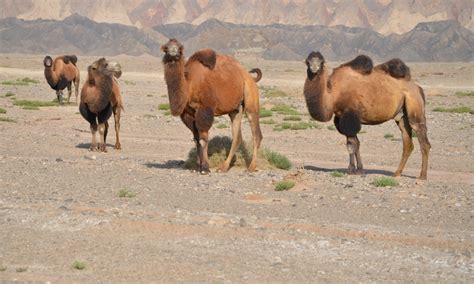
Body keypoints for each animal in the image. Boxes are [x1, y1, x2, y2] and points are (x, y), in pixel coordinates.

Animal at [160, 38, 262, 173]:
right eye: (166, 47)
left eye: (180, 48)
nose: (173, 52)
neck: (189, 85)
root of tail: (249, 76)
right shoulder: (188, 114)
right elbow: (196, 139)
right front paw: (197, 166)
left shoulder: (204, 109)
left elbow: (203, 139)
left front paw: (205, 167)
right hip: (236, 109)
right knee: (237, 136)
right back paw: (224, 167)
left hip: (251, 98)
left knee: (256, 133)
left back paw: (251, 167)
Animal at [304, 51, 430, 180]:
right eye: (308, 61)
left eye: (321, 62)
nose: (314, 67)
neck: (333, 94)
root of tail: (418, 88)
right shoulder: (342, 119)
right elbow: (355, 143)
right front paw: (359, 169)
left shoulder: (350, 116)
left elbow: (352, 145)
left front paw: (352, 170)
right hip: (401, 116)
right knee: (407, 142)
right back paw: (397, 173)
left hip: (414, 105)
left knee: (423, 139)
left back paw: (422, 176)